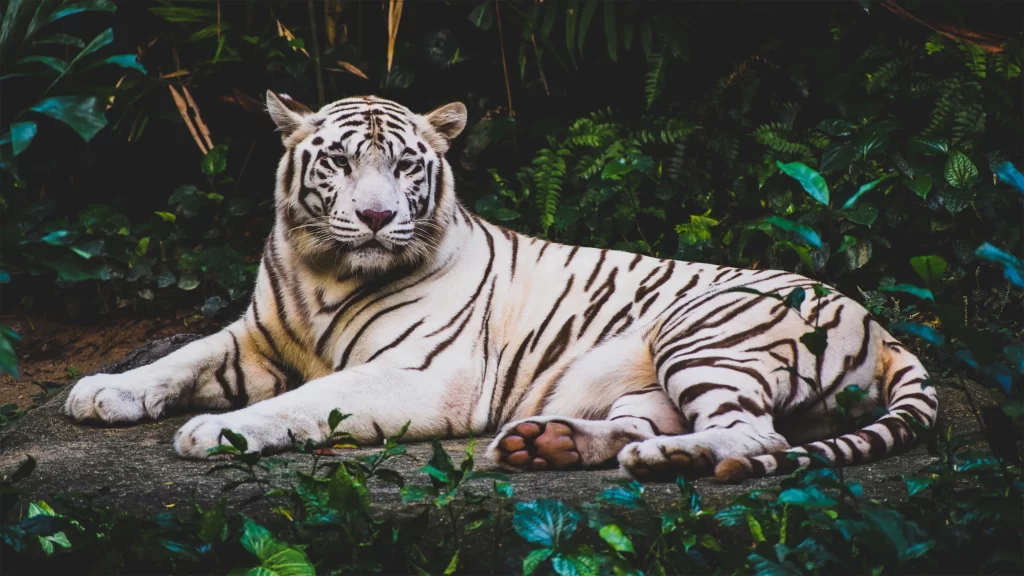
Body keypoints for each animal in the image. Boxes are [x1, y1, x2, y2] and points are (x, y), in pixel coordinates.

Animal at [64, 92, 938, 483]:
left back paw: (668, 459)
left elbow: (306, 401)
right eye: (340, 162)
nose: (376, 217)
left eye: (405, 166)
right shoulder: (255, 336)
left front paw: (217, 432)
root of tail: (884, 328)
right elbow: (181, 356)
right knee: (653, 422)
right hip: (648, 379)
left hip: (703, 332)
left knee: (758, 437)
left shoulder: (422, 375)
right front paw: (102, 391)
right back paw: (547, 443)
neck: (325, 271)